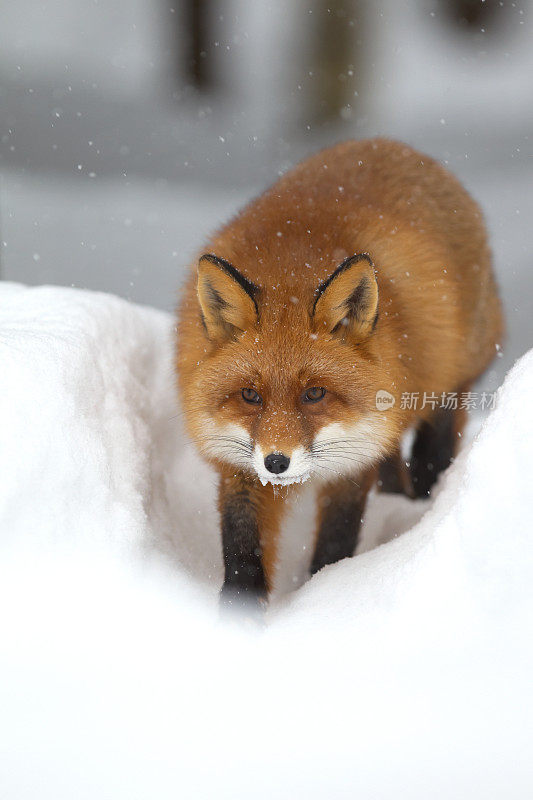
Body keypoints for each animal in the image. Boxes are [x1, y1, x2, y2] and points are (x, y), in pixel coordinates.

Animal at [176, 141, 502, 608]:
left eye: (314, 394)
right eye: (250, 396)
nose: (277, 462)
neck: (290, 265)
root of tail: (394, 145)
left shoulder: (356, 456)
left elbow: (336, 537)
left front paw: (324, 595)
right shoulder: (236, 461)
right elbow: (241, 542)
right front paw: (239, 614)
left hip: (445, 386)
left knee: (433, 448)